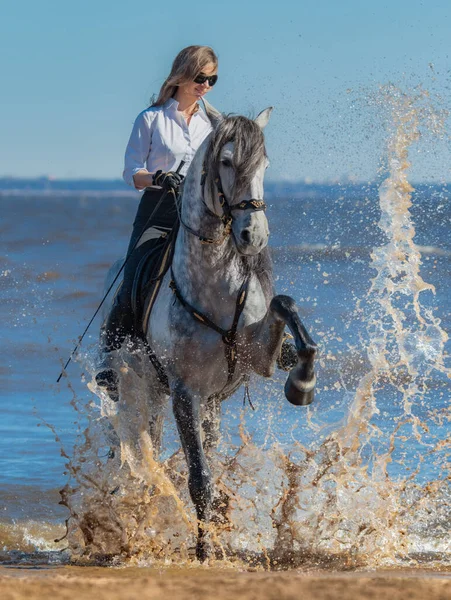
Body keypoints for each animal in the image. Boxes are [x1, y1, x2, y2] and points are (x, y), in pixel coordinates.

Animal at [100, 102, 316, 556]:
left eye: (265, 163)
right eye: (227, 161)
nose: (253, 235)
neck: (213, 285)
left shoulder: (256, 358)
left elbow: (283, 303)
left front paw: (302, 383)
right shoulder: (185, 392)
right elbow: (198, 479)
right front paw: (203, 552)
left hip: (212, 403)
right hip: (142, 389)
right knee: (138, 446)